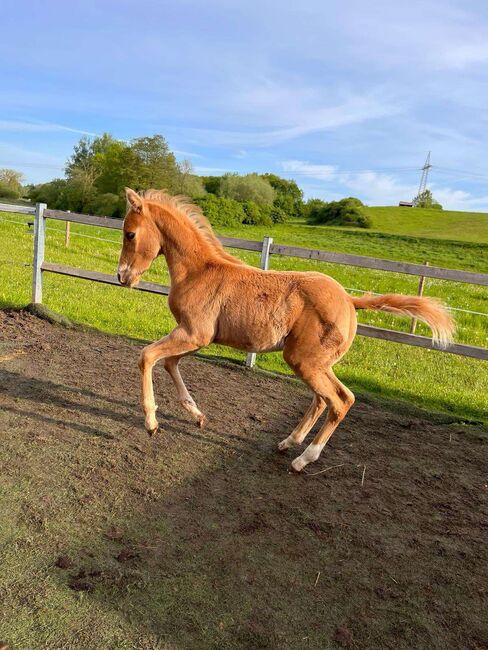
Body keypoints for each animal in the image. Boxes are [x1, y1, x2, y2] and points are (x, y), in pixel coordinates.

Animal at [118, 187, 454, 470]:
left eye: (130, 233)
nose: (122, 276)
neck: (199, 272)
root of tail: (349, 300)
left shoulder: (193, 334)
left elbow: (147, 357)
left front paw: (151, 422)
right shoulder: (195, 338)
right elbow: (169, 364)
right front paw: (197, 416)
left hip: (304, 360)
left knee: (340, 401)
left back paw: (303, 459)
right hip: (316, 362)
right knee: (326, 399)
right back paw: (288, 442)